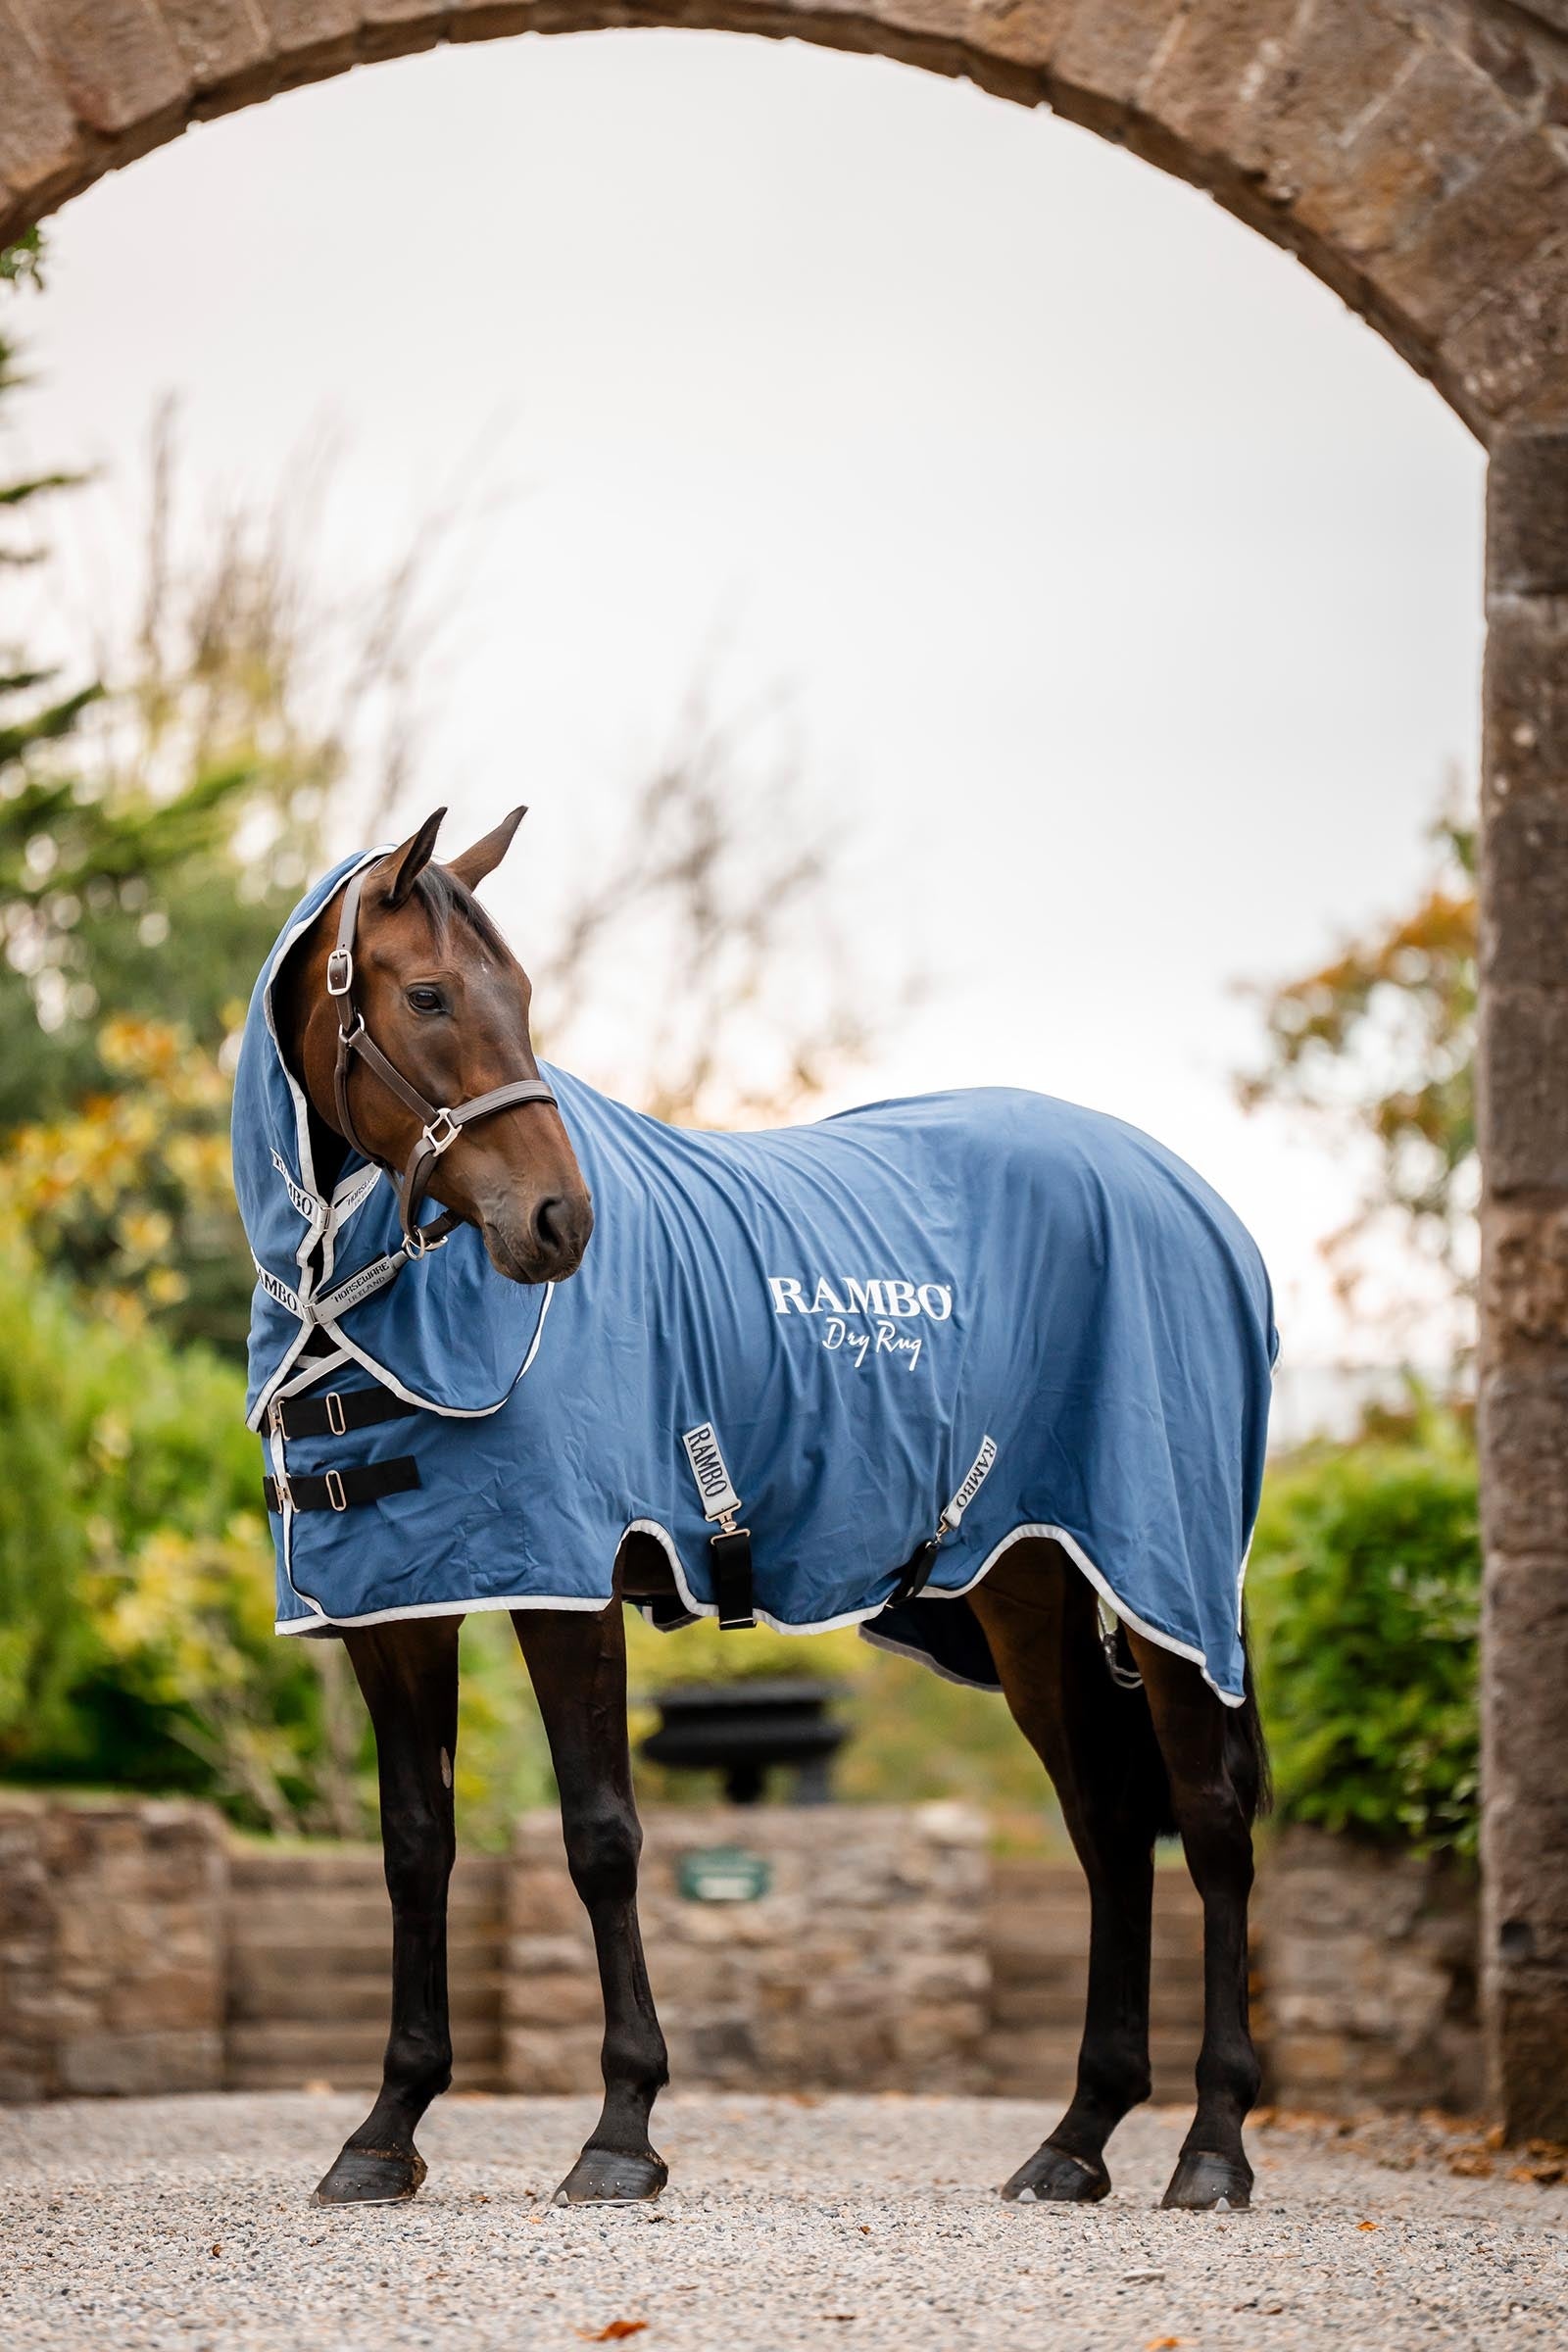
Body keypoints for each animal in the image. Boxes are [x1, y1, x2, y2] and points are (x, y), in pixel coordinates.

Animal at [238, 803, 1273, 2217]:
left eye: (523, 995)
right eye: (433, 994)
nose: (560, 1222)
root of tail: (1202, 1205)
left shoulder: (567, 1587)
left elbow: (602, 1839)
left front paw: (621, 2131)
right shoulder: (401, 1607)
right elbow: (415, 1850)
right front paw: (385, 2130)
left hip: (1165, 1586)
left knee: (1210, 1827)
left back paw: (1213, 2147)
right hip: (1031, 1591)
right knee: (1112, 1828)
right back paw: (1074, 2141)